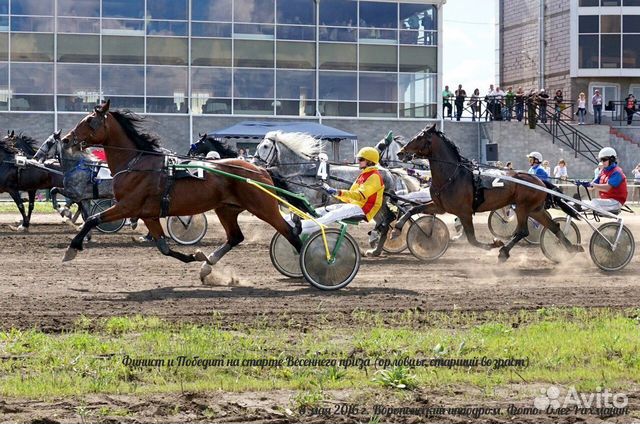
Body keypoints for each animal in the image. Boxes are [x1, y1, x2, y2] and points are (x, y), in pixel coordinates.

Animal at [61, 99, 302, 282]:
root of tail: (261, 169)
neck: (137, 163)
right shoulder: (148, 214)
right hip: (226, 209)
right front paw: (195, 257)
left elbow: (92, 218)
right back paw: (207, 265)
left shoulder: (128, 205)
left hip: (263, 207)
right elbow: (163, 248)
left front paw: (72, 248)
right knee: (235, 237)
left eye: (89, 121)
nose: (65, 139)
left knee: (290, 233)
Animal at [398, 124, 584, 260]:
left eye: (419, 137)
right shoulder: (440, 207)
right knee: (553, 226)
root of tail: (539, 181)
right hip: (535, 209)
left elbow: (472, 239)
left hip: (523, 207)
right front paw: (397, 228)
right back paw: (571, 248)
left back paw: (504, 251)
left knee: (523, 231)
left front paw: (495, 244)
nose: (400, 153)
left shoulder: (464, 212)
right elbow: (413, 209)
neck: (452, 175)